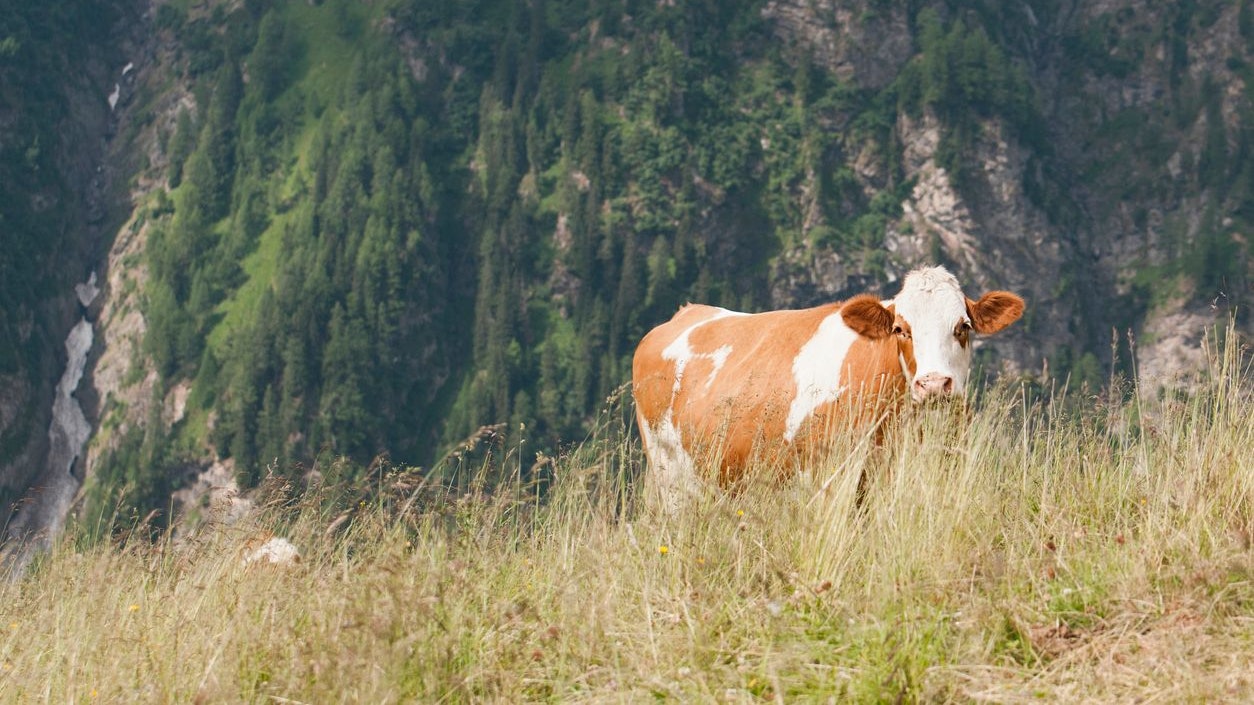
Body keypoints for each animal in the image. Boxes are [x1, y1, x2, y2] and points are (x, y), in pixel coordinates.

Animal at [631, 265, 1024, 507]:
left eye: (963, 326)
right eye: (900, 329)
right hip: (670, 476)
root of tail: (686, 312)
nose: (933, 384)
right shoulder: (829, 480)